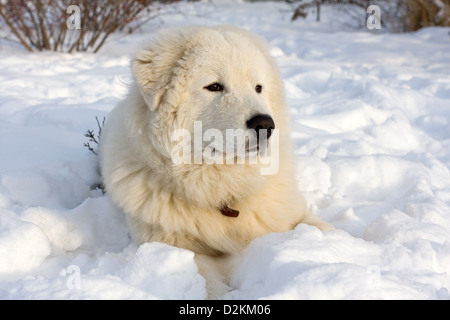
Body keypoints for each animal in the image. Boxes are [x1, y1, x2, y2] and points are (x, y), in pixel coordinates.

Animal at [100, 25, 332, 298]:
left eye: (258, 88)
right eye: (214, 86)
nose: (265, 124)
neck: (223, 188)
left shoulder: (289, 213)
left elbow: (323, 227)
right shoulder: (175, 245)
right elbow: (208, 283)